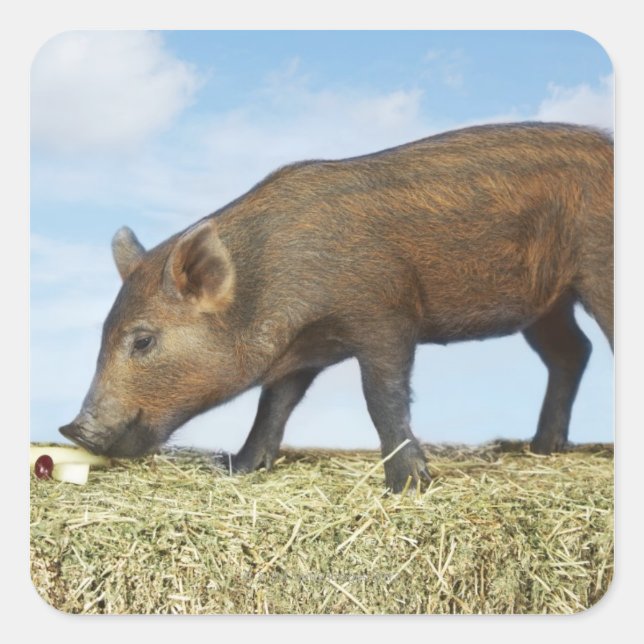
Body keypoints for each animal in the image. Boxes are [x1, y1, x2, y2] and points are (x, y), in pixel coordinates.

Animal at [59, 122, 613, 492]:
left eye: (143, 340)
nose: (73, 428)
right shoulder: (302, 354)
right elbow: (273, 406)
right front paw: (237, 467)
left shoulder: (387, 313)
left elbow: (382, 397)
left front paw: (407, 485)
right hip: (548, 303)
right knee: (573, 352)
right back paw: (540, 448)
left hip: (597, 271)